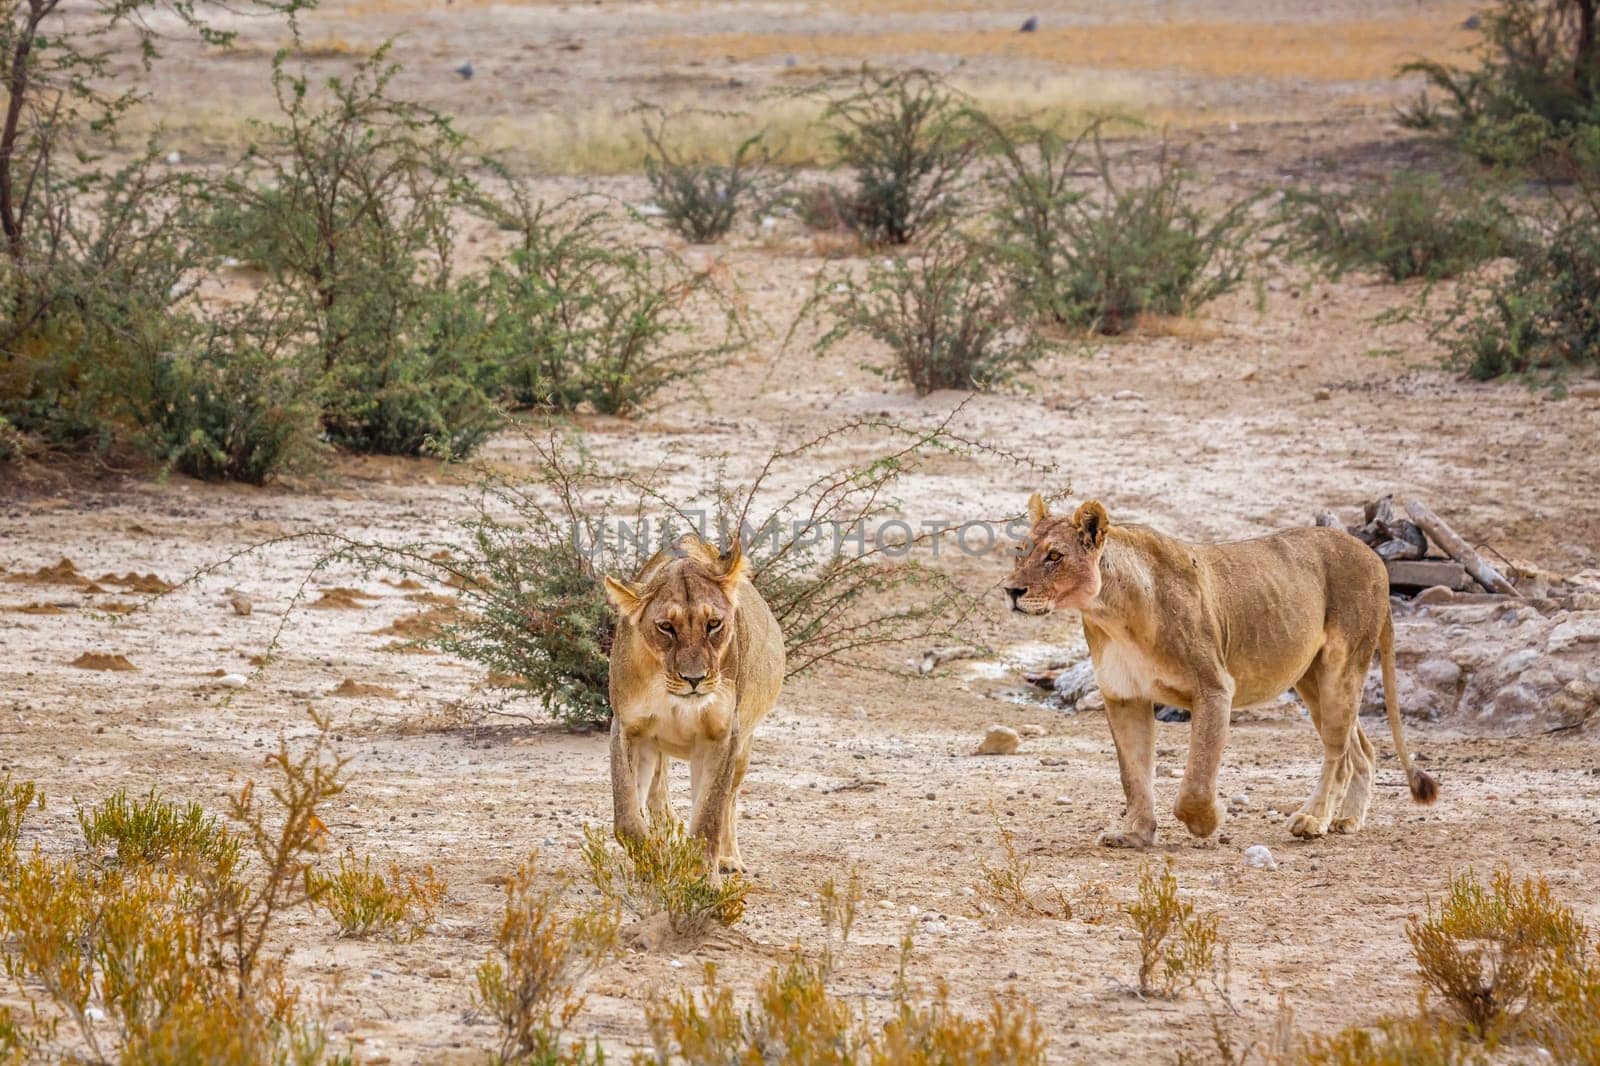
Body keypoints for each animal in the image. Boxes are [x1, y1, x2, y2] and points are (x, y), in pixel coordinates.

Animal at [601, 531, 784, 870]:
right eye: (666, 627)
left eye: (713, 624)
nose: (694, 679)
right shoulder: (627, 729)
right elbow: (628, 819)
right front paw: (655, 862)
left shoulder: (722, 735)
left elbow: (709, 817)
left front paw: (702, 875)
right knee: (659, 790)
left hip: (743, 749)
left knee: (730, 800)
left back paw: (727, 858)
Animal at [998, 492, 1440, 845]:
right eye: (1022, 551)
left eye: (1055, 556)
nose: (1011, 590)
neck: (1111, 613)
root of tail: (1374, 557)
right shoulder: (1124, 696)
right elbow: (1134, 774)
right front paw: (1135, 833)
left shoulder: (1213, 686)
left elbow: (1196, 779)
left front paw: (1206, 822)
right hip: (1310, 679)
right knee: (1360, 748)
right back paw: (1346, 819)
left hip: (1341, 669)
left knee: (1338, 751)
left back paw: (1312, 819)